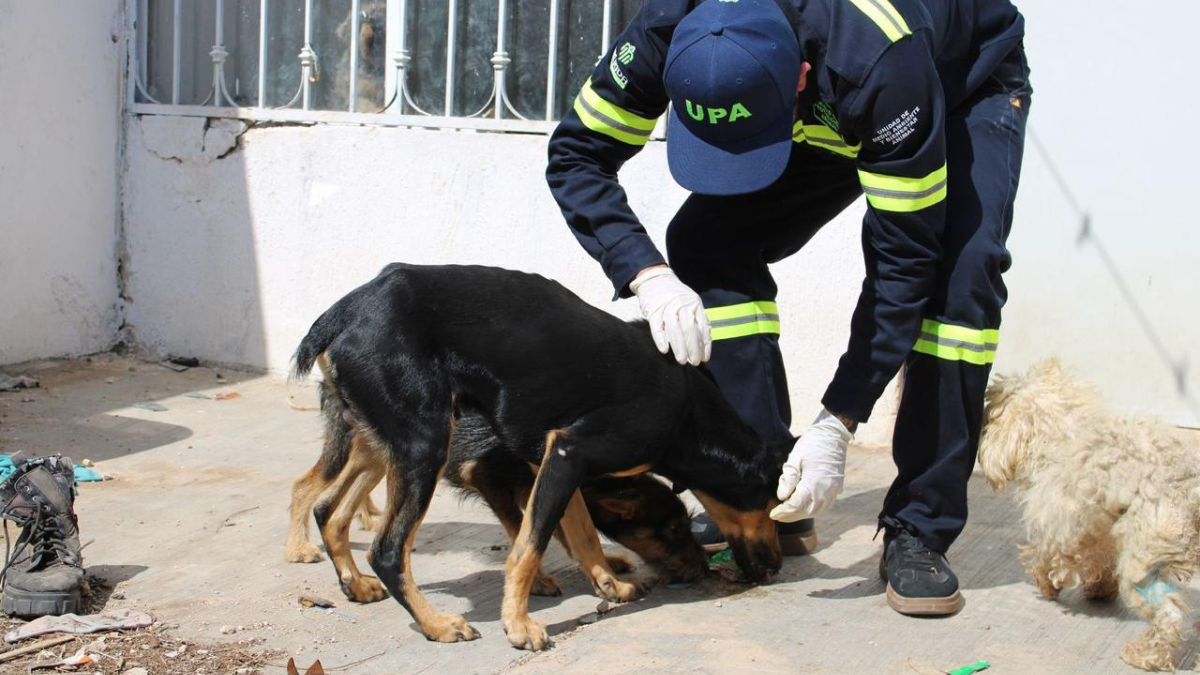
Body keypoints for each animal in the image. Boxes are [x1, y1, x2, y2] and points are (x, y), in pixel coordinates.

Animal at [286, 261, 782, 648]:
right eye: (773, 505)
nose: (777, 565)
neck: (687, 409)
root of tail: (344, 311)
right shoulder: (567, 451)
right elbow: (528, 545)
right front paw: (520, 626)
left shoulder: (552, 458)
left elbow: (578, 528)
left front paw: (609, 582)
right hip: (423, 445)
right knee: (387, 550)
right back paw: (436, 625)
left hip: (379, 441)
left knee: (330, 510)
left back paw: (354, 584)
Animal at [979, 357, 1195, 667]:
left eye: (992, 412)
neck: (1062, 432)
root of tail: (1185, 485)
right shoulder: (1098, 526)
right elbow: (1099, 556)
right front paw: (1101, 587)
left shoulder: (1060, 521)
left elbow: (1052, 556)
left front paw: (1047, 584)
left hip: (1144, 561)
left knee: (1169, 613)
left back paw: (1145, 654)